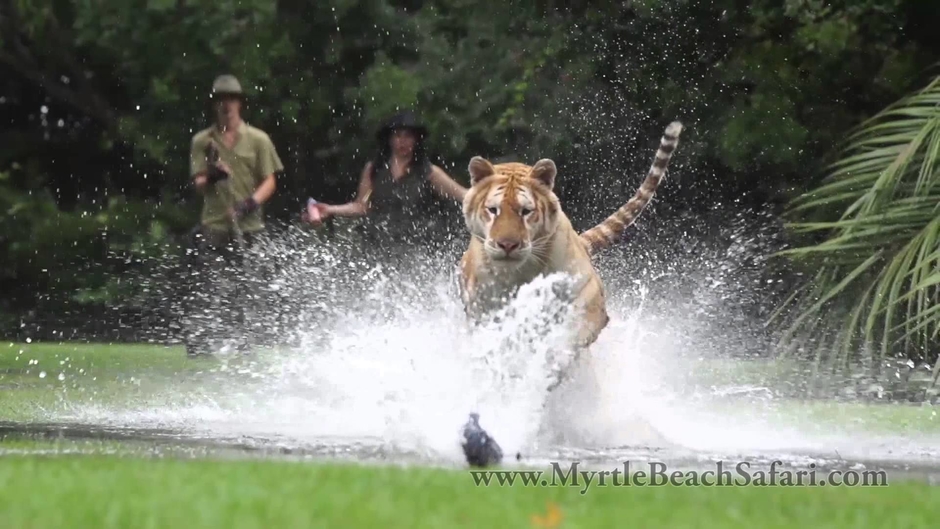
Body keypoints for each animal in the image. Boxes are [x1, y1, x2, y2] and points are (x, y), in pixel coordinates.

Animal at [457, 121, 684, 389]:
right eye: (493, 210)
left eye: (526, 211)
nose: (508, 244)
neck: (520, 273)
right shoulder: (482, 310)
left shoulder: (587, 292)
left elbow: (569, 333)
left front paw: (548, 368)